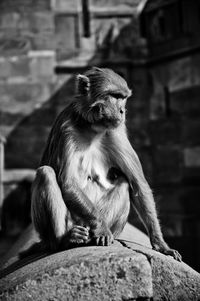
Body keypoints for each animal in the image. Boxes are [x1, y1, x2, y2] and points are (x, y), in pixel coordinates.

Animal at [30, 67, 181, 258]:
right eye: (115, 96)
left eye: (123, 98)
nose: (123, 111)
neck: (92, 126)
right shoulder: (66, 128)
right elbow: (68, 183)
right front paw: (101, 228)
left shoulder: (117, 131)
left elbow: (138, 184)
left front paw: (161, 244)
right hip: (68, 224)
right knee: (46, 173)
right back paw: (65, 240)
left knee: (123, 182)